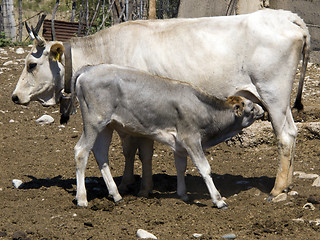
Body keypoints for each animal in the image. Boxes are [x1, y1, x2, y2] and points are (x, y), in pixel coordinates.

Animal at [12, 8, 310, 201]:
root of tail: (286, 15)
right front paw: (135, 184)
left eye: (31, 64)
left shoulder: (134, 113)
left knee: (284, 135)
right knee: (293, 132)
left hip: (273, 94)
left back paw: (277, 190)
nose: (14, 97)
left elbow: (137, 149)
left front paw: (136, 185)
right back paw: (288, 183)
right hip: (279, 100)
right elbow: (136, 151)